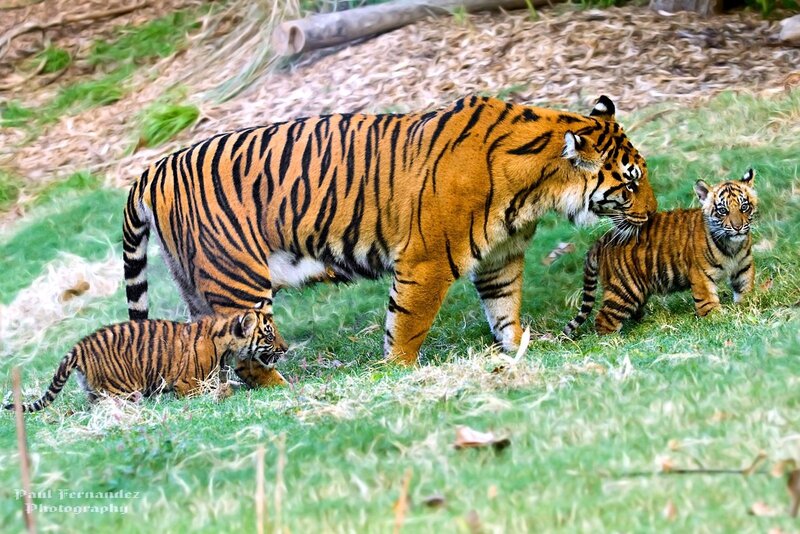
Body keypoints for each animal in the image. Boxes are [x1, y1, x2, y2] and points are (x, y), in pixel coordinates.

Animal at [4, 303, 287, 412]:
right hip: (123, 390)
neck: (225, 344)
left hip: (96, 390)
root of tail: (79, 346)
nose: (285, 348)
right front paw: (227, 393)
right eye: (269, 336)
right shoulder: (187, 384)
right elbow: (215, 390)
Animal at [123, 94, 656, 366]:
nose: (651, 216)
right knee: (246, 351)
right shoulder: (428, 261)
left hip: (196, 284)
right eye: (631, 184)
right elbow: (408, 323)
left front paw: (520, 346)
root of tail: (154, 170)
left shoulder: (500, 258)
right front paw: (397, 370)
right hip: (238, 280)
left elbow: (505, 308)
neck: (536, 189)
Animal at [563, 168, 757, 336]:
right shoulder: (701, 274)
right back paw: (613, 340)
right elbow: (707, 300)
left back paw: (649, 323)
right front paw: (717, 319)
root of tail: (602, 240)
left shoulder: (743, 266)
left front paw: (747, 306)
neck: (732, 247)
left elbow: (745, 288)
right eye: (723, 210)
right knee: (604, 318)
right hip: (625, 289)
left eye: (744, 207)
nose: (738, 227)